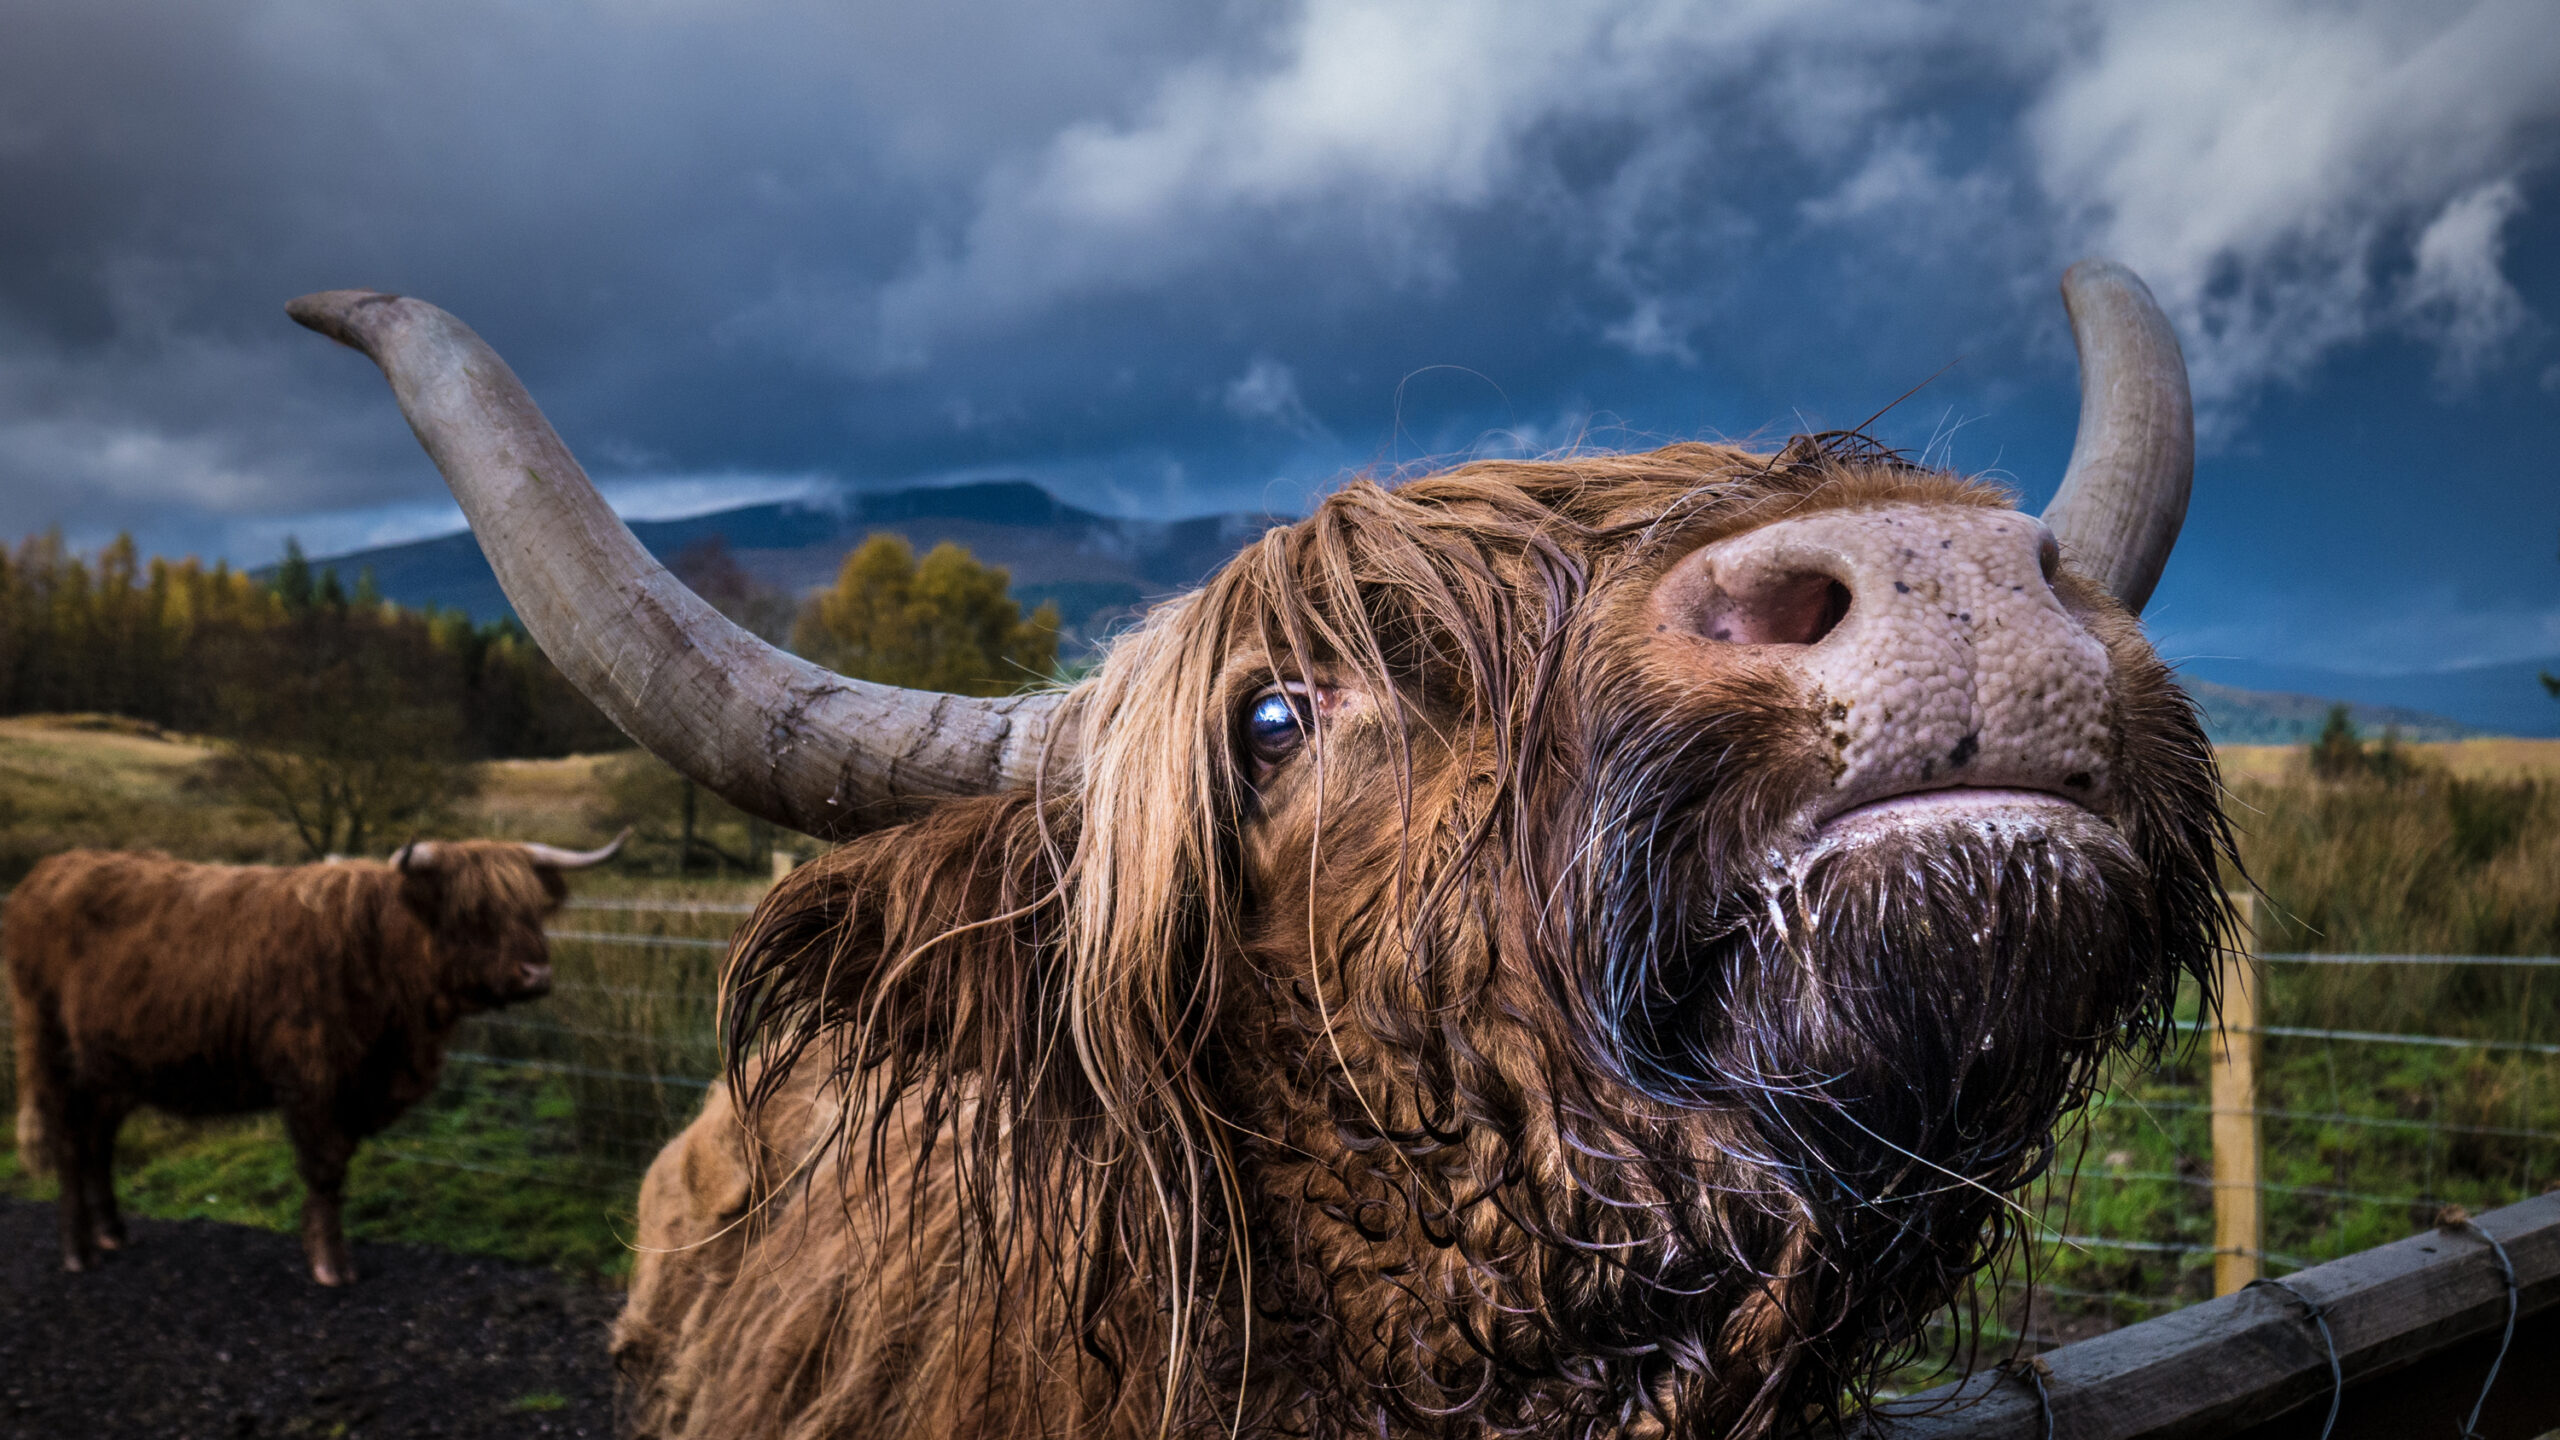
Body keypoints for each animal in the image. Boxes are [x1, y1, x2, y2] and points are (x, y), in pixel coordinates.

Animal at [11, 830, 624, 1276]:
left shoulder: (354, 1087)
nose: (536, 972)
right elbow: (325, 1167)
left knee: (98, 1141)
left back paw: (113, 1233)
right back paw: (78, 1252)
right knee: (69, 1143)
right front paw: (332, 1265)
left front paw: (315, 1245)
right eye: (472, 911)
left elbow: (335, 1168)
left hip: (109, 1068)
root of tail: (47, 872)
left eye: (534, 910)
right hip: (53, 1051)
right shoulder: (311, 1078)